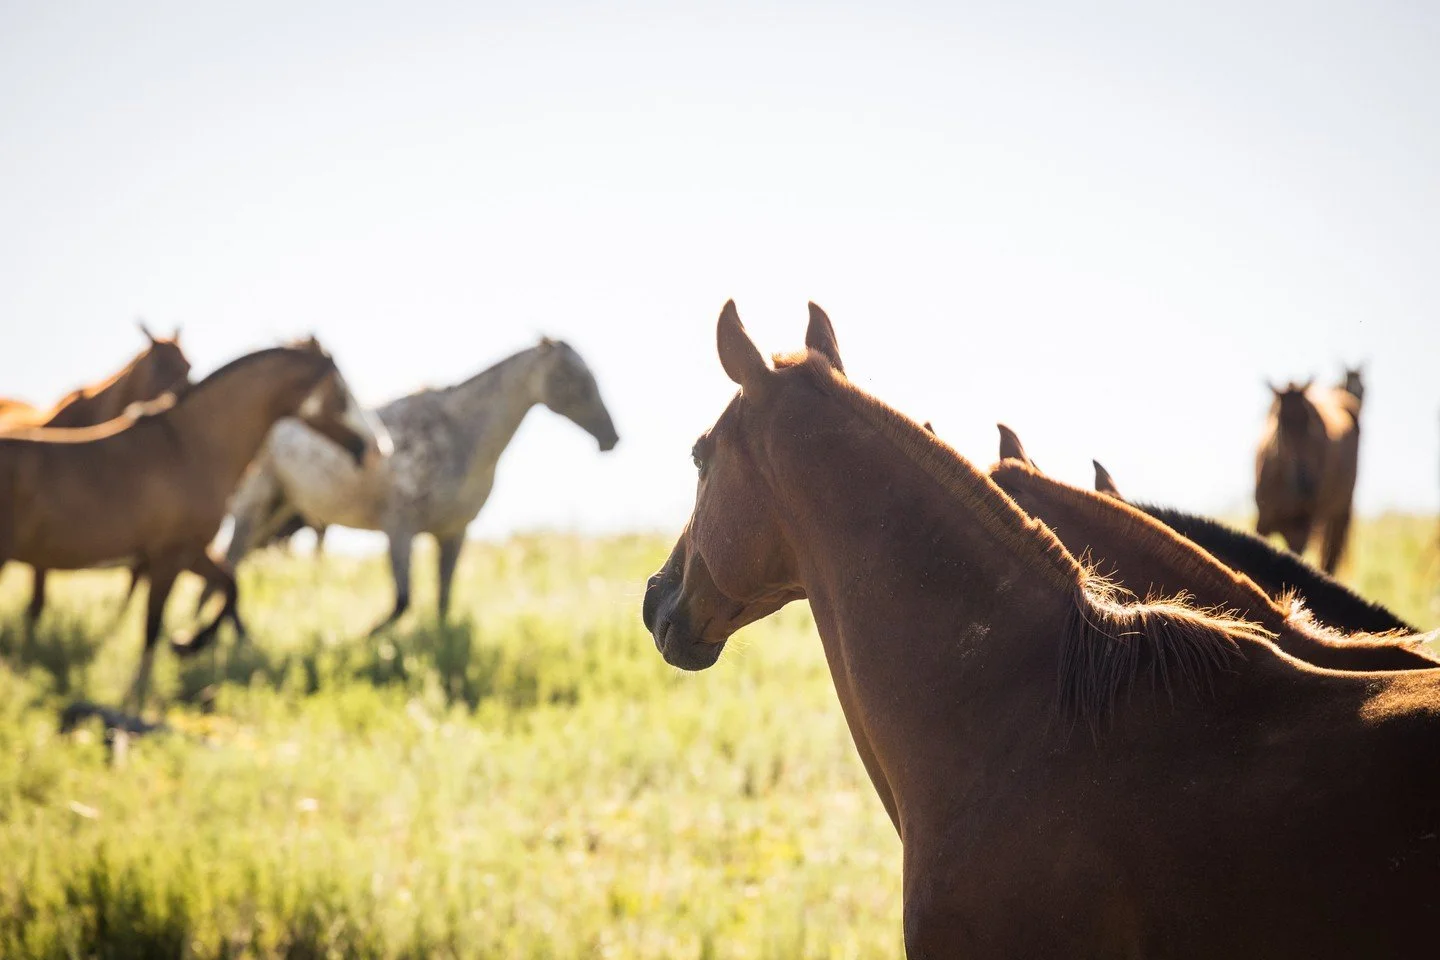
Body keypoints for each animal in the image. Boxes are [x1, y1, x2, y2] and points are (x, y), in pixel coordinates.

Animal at [0, 344, 382, 708]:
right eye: (342, 392)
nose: (376, 447)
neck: (189, 449)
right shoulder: (167, 558)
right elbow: (152, 626)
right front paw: (139, 692)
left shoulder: (192, 552)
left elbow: (230, 586)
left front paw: (187, 643)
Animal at [224, 336, 619, 634]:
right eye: (573, 377)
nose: (611, 437)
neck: (459, 437)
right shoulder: (400, 528)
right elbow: (403, 601)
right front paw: (363, 639)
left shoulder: (454, 532)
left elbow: (443, 599)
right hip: (253, 507)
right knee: (229, 566)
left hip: (277, 511)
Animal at [1255, 372, 1363, 573]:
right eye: (1280, 423)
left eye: (1311, 423)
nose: (1307, 484)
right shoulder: (1263, 521)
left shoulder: (1301, 533)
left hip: (1340, 514)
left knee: (1330, 559)